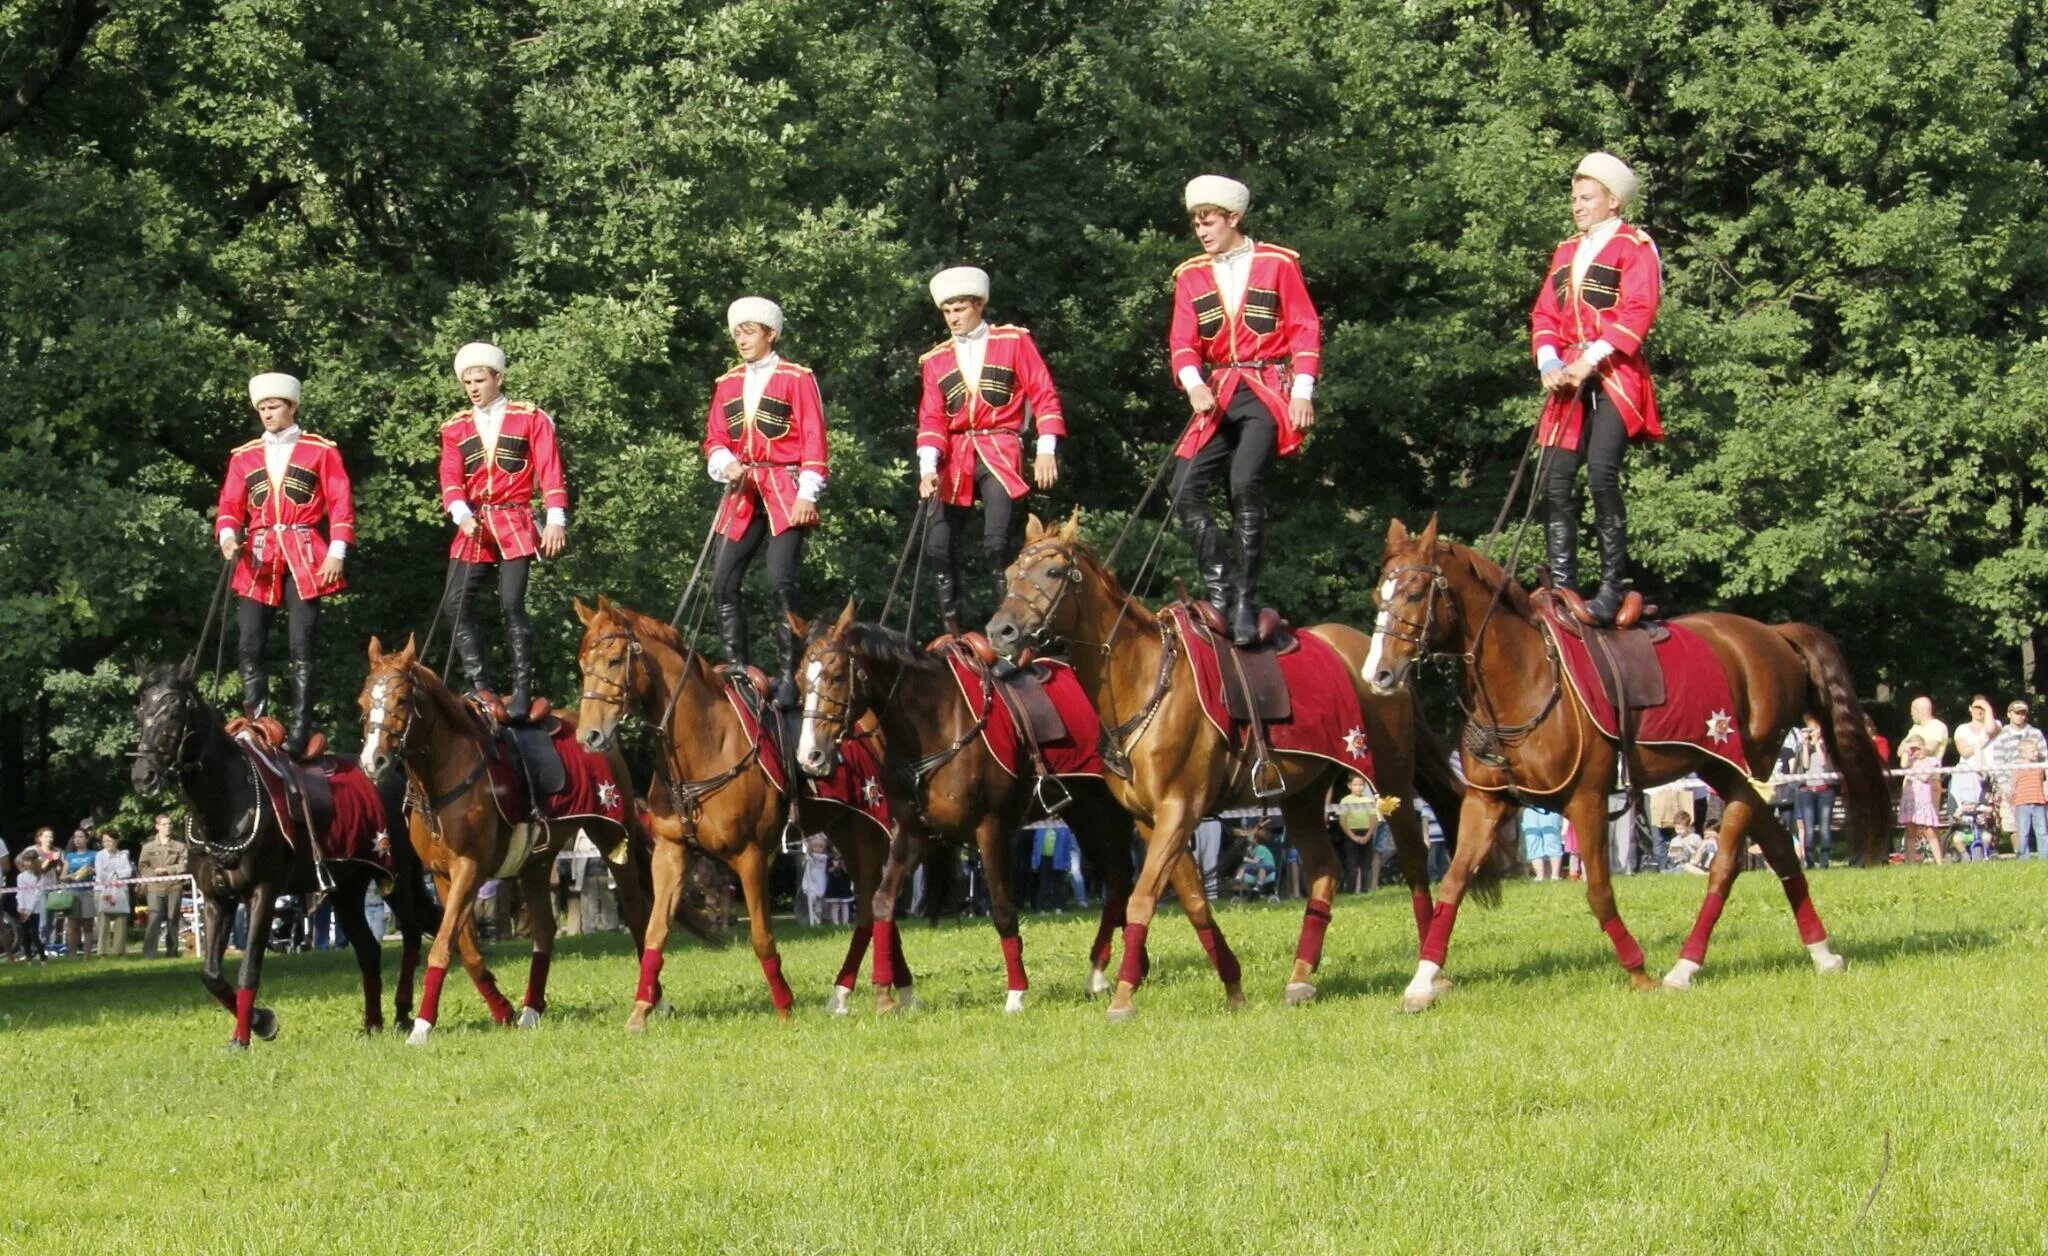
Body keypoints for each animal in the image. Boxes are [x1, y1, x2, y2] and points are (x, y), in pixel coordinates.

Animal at [360, 635, 655, 1036]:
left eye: (402, 700)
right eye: (363, 702)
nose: (371, 761)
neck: (446, 776)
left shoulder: (470, 870)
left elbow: (442, 945)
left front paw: (422, 1025)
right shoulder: (443, 876)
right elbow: (465, 950)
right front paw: (502, 1010)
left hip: (612, 839)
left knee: (638, 913)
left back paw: (655, 1002)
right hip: (537, 863)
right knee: (544, 930)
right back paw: (531, 1009)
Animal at [573, 594, 901, 1020]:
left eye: (614, 661)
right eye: (583, 664)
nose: (589, 735)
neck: (706, 746)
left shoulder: (752, 857)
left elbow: (761, 937)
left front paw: (785, 1008)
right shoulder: (671, 854)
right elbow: (655, 932)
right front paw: (641, 1011)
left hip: (870, 830)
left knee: (872, 907)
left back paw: (882, 993)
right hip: (845, 830)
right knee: (872, 903)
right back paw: (866, 991)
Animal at [790, 602, 1228, 1012]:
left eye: (834, 676)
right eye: (799, 679)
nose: (811, 756)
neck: (935, 723)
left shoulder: (991, 829)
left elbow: (1002, 909)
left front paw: (1017, 992)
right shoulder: (914, 832)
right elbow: (881, 902)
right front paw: (889, 992)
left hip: (1108, 815)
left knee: (1122, 881)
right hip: (1087, 815)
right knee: (1119, 881)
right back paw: (1108, 970)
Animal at [983, 514, 1466, 1024]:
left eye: (1053, 572)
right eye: (1012, 572)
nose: (1001, 631)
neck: (1144, 681)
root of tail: (1376, 659)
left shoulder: (1179, 810)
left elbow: (1142, 899)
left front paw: (1123, 996)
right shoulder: (1151, 821)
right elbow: (1195, 902)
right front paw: (1233, 986)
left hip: (1391, 778)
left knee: (1414, 859)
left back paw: (1430, 974)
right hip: (1303, 794)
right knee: (1324, 869)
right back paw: (1301, 977)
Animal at [1359, 512, 1884, 1008]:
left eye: (1415, 591)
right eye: (1378, 594)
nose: (1377, 674)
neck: (1525, 678)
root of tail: (1773, 635)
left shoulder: (1588, 800)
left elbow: (1598, 890)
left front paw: (1638, 971)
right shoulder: (1486, 803)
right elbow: (1452, 883)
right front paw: (1423, 981)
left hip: (1745, 771)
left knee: (1726, 864)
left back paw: (1684, 968)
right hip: (1717, 767)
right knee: (1778, 849)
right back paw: (1821, 952)